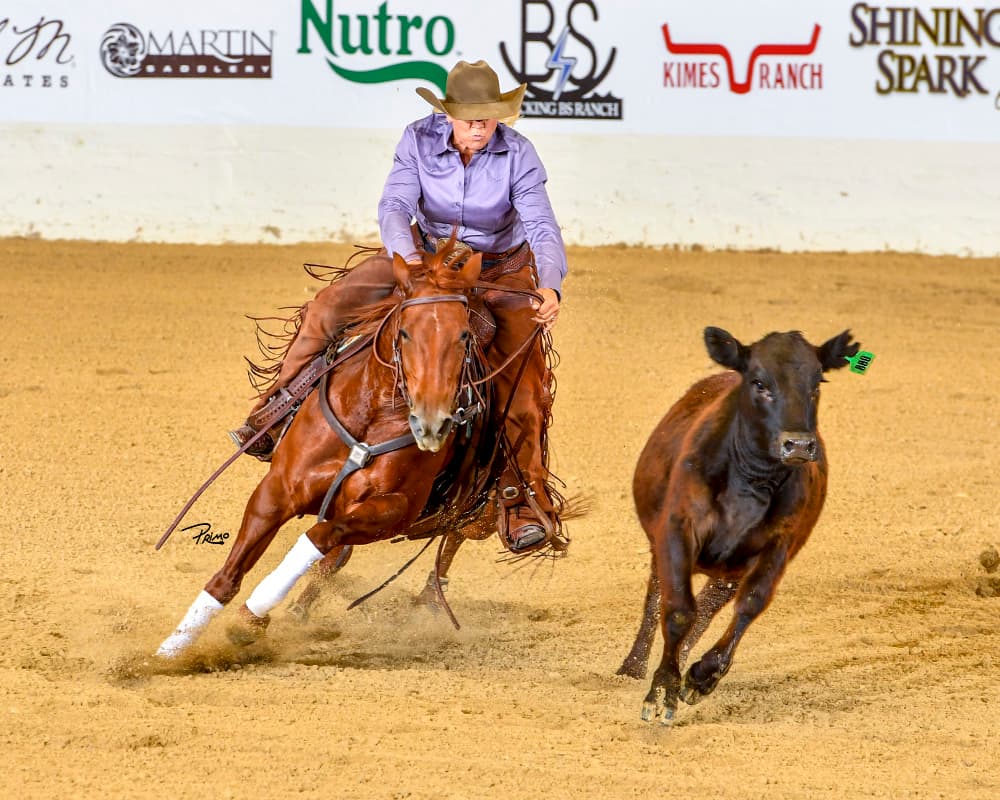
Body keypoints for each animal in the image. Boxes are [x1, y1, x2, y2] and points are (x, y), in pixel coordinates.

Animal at [156, 239, 538, 658]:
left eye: (464, 336)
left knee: (445, 544)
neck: (370, 414)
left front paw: (251, 617)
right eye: (405, 332)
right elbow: (230, 574)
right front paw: (171, 648)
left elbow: (320, 538)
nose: (433, 419)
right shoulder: (277, 490)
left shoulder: (393, 510)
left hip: (482, 512)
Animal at [617, 326, 860, 725]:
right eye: (759, 382)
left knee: (711, 602)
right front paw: (662, 689)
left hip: (729, 567)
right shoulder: (677, 529)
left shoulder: (779, 544)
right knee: (658, 596)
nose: (798, 445)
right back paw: (632, 667)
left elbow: (750, 603)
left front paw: (701, 677)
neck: (751, 480)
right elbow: (678, 609)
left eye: (817, 384)